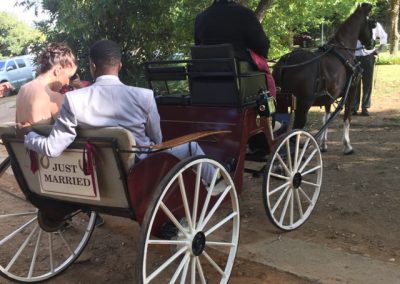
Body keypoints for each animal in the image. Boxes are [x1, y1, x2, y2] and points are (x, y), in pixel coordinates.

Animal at [272, 3, 376, 154]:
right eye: (372, 24)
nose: (372, 43)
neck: (343, 50)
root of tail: (287, 59)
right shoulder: (352, 90)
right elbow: (347, 118)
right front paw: (347, 145)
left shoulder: (329, 97)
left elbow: (326, 118)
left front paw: (323, 144)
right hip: (303, 105)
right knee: (293, 135)